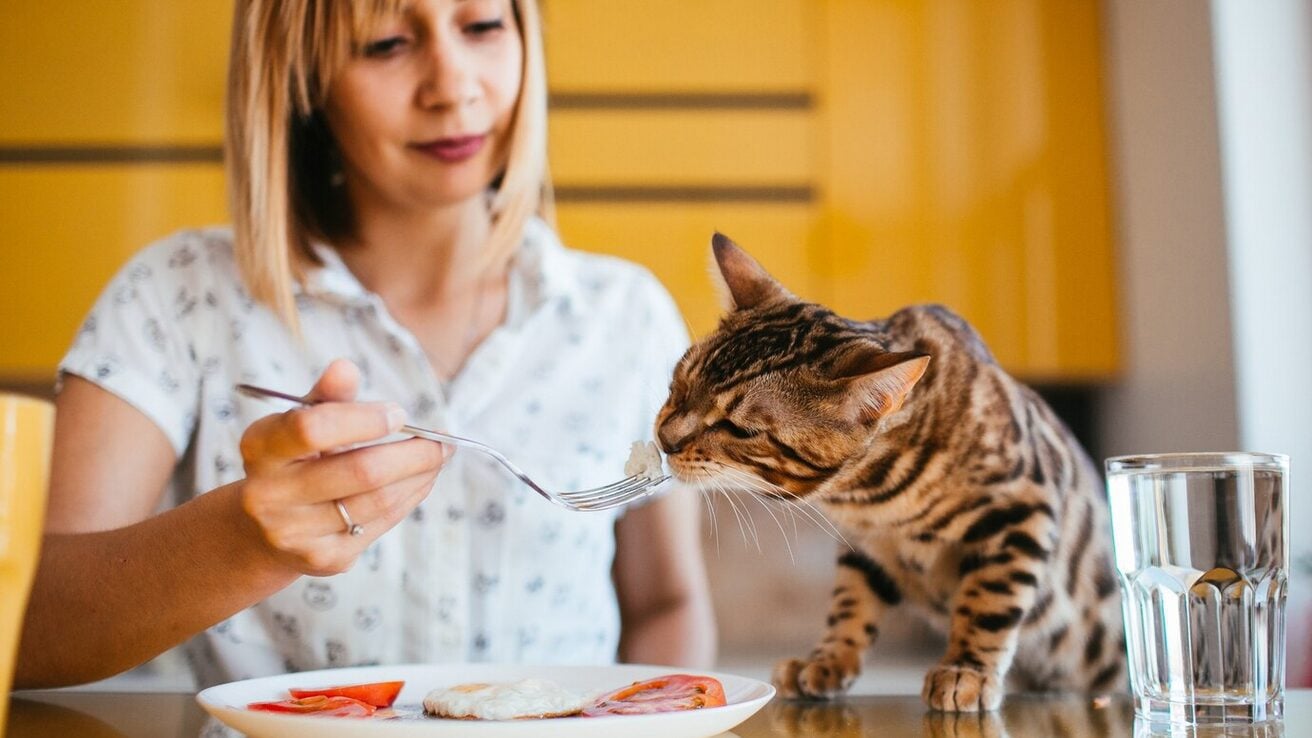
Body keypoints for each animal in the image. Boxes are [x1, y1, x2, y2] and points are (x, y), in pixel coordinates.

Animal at [661, 233, 1123, 709]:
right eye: (678, 384)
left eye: (739, 428)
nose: (664, 438)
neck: (869, 496)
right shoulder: (863, 544)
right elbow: (851, 603)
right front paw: (826, 660)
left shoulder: (1022, 507)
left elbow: (989, 601)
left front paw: (966, 669)